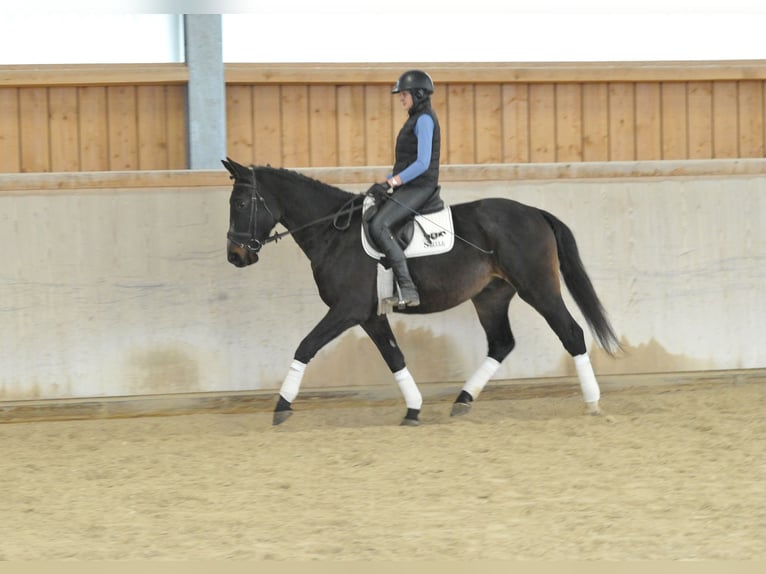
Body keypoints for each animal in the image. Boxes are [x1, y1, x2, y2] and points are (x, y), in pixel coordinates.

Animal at [223, 158, 621, 426]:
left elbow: (305, 346)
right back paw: (463, 400)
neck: (334, 232)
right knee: (501, 344)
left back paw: (592, 402)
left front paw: (281, 406)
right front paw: (413, 408)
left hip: (537, 287)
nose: (236, 256)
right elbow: (394, 357)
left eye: (240, 204)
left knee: (571, 333)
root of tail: (535, 212)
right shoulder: (368, 315)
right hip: (491, 295)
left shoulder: (347, 309)